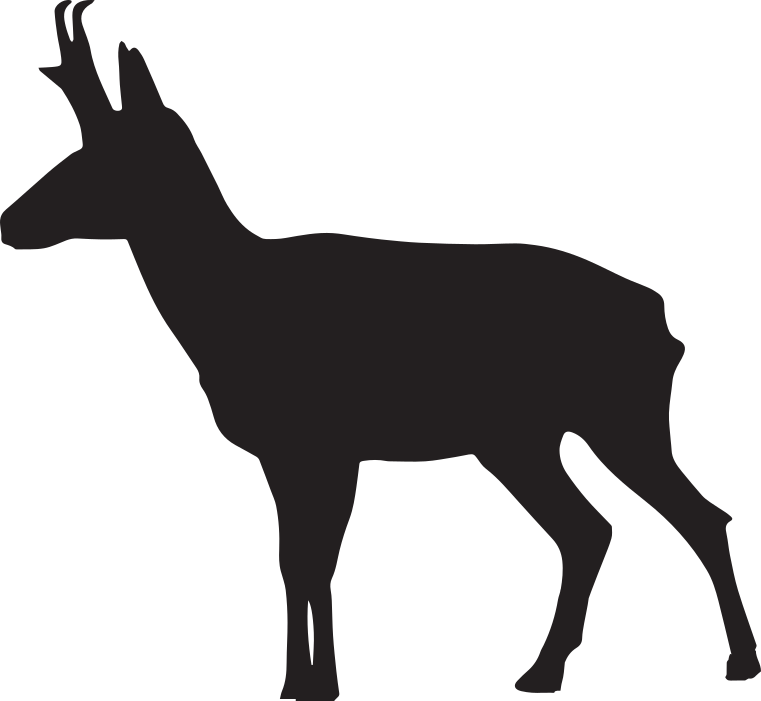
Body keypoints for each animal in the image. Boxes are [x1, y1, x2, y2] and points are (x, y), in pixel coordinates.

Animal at [3, 2, 758, 698]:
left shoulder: (330, 443)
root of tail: (662, 319)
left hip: (618, 418)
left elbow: (318, 560)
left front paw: (319, 682)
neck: (235, 312)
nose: (9, 219)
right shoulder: (282, 452)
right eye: (75, 147)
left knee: (695, 513)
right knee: (588, 528)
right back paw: (540, 671)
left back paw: (739, 661)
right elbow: (291, 561)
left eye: (106, 157)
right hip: (521, 439)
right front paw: (298, 681)